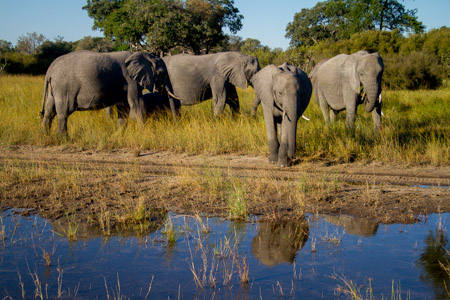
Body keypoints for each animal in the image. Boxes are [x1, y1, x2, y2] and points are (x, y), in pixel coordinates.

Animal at [40, 51, 178, 135]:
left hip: (54, 89)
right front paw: (145, 133)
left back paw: (45, 136)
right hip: (63, 87)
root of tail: (50, 70)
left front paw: (118, 135)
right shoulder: (130, 80)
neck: (146, 56)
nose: (175, 124)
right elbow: (137, 104)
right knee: (63, 113)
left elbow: (124, 108)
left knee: (49, 111)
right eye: (162, 74)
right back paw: (63, 138)